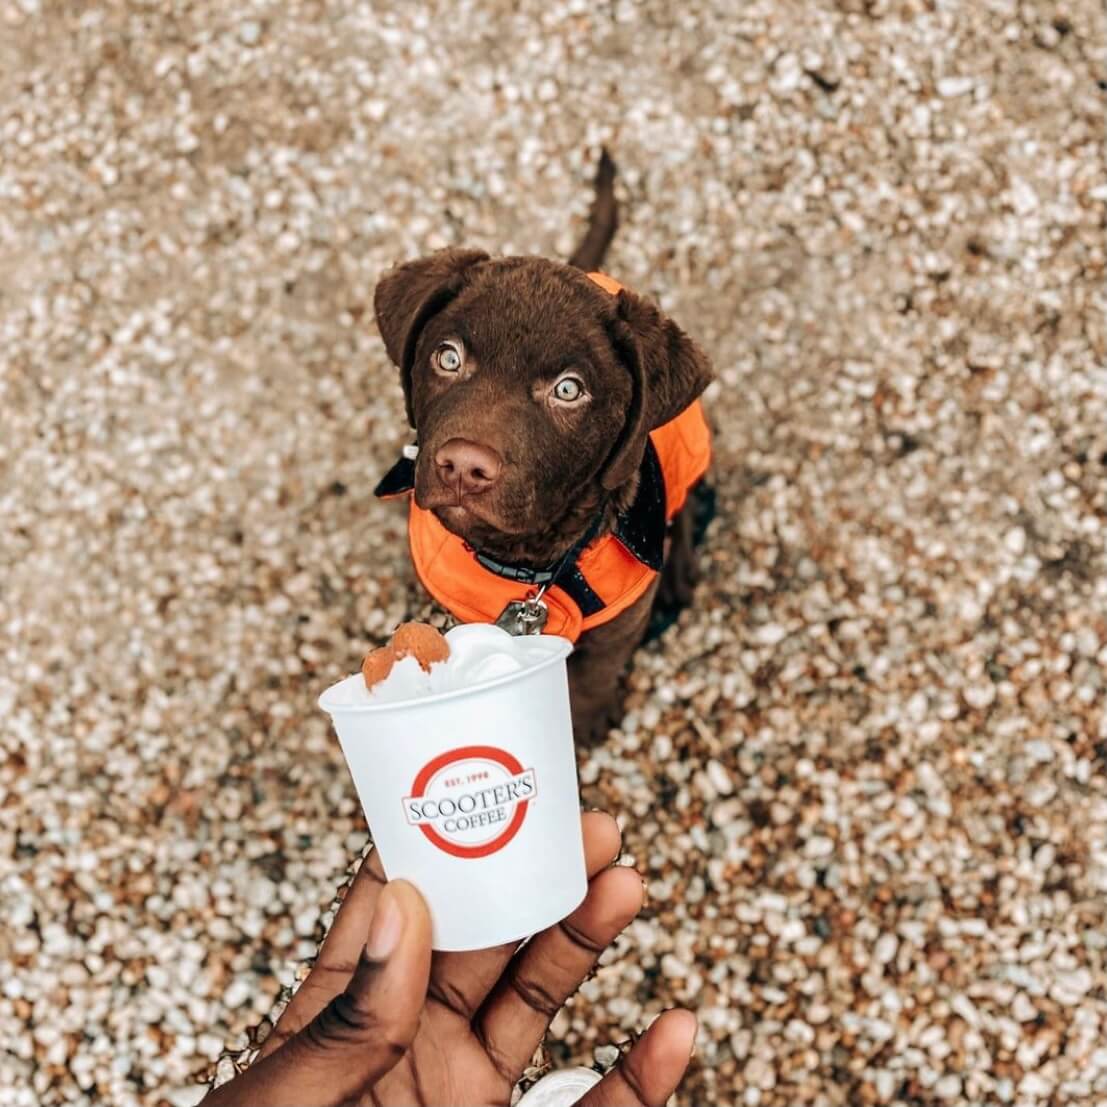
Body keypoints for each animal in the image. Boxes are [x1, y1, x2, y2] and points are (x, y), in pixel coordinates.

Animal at [374, 153, 717, 743]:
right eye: (448, 357)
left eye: (568, 390)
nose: (463, 467)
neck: (524, 567)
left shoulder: (621, 622)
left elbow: (597, 670)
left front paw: (589, 722)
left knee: (690, 498)